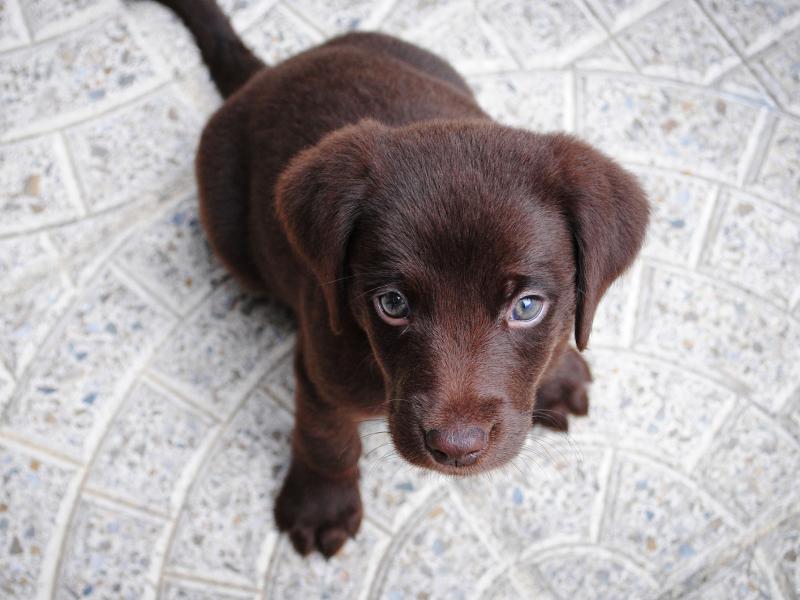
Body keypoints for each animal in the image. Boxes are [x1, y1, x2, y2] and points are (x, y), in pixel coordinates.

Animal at [155, 0, 648, 556]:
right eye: (392, 304)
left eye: (526, 306)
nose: (456, 449)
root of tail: (265, 74)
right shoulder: (321, 366)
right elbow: (326, 438)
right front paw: (321, 505)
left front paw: (558, 373)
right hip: (227, 227)